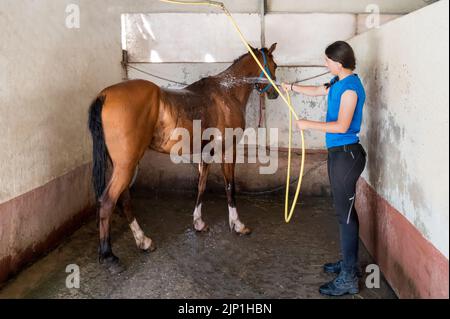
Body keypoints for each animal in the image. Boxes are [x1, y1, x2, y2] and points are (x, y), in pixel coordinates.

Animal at [86, 42, 280, 272]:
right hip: (126, 165)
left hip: (122, 165)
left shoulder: (207, 152)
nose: (275, 93)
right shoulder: (227, 150)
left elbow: (201, 185)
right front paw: (238, 225)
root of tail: (105, 95)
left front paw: (199, 223)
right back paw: (109, 256)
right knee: (107, 201)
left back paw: (143, 241)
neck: (228, 90)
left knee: (123, 199)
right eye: (275, 65)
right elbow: (229, 187)